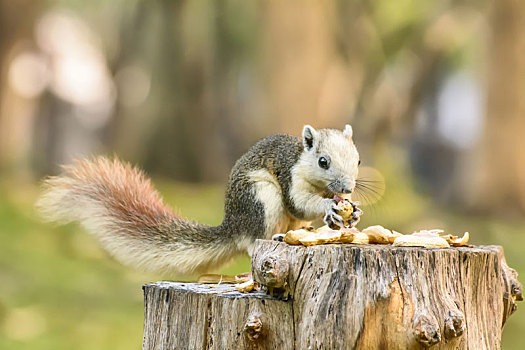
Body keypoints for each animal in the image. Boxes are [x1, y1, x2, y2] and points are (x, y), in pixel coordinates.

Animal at [37, 124, 360, 274]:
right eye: (323, 161)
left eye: (357, 160)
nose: (346, 188)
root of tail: (233, 225)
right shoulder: (289, 177)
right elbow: (299, 203)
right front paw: (328, 207)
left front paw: (352, 212)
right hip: (260, 198)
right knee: (253, 240)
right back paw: (275, 237)